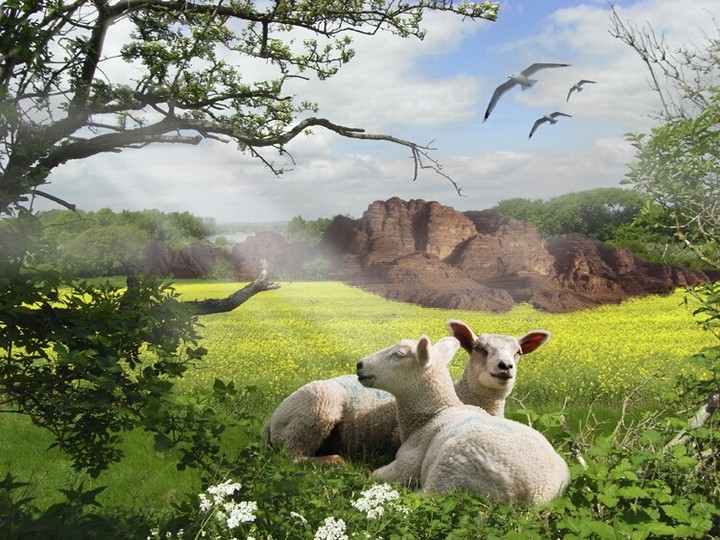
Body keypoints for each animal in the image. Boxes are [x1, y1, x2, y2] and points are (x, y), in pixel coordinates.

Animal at [264, 320, 550, 464]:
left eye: (518, 352)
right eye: (479, 348)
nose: (505, 367)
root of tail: (271, 420)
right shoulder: (396, 435)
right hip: (316, 407)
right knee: (292, 455)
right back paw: (333, 460)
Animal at [356, 335, 570, 504]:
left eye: (398, 354)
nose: (360, 364)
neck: (433, 414)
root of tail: (539, 493)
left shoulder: (408, 462)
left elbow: (377, 475)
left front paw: (365, 471)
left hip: (451, 468)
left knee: (426, 495)